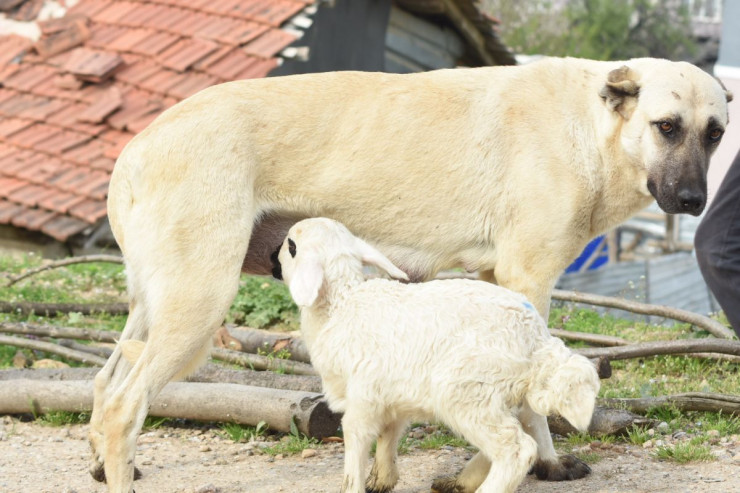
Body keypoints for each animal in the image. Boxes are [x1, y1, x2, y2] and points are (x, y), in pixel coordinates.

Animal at [274, 217, 600, 492]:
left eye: (291, 246)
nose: (272, 256)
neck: (340, 304)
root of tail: (536, 340)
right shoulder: (393, 395)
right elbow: (388, 435)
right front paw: (382, 479)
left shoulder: (362, 398)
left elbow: (356, 444)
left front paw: (356, 484)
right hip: (498, 393)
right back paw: (461, 482)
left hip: (468, 391)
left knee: (517, 448)